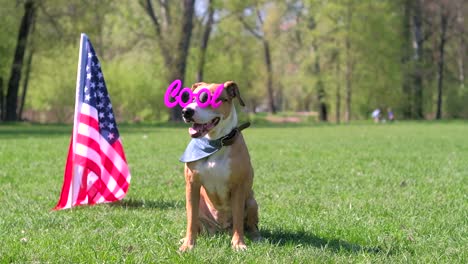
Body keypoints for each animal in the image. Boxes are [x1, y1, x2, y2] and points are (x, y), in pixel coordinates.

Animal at [178, 81, 260, 251]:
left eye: (209, 99)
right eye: (191, 98)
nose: (186, 111)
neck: (215, 143)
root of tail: (221, 229)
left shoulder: (238, 186)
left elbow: (238, 218)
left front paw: (238, 244)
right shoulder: (192, 184)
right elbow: (191, 218)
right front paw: (188, 244)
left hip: (252, 201)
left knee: (251, 225)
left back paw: (256, 237)